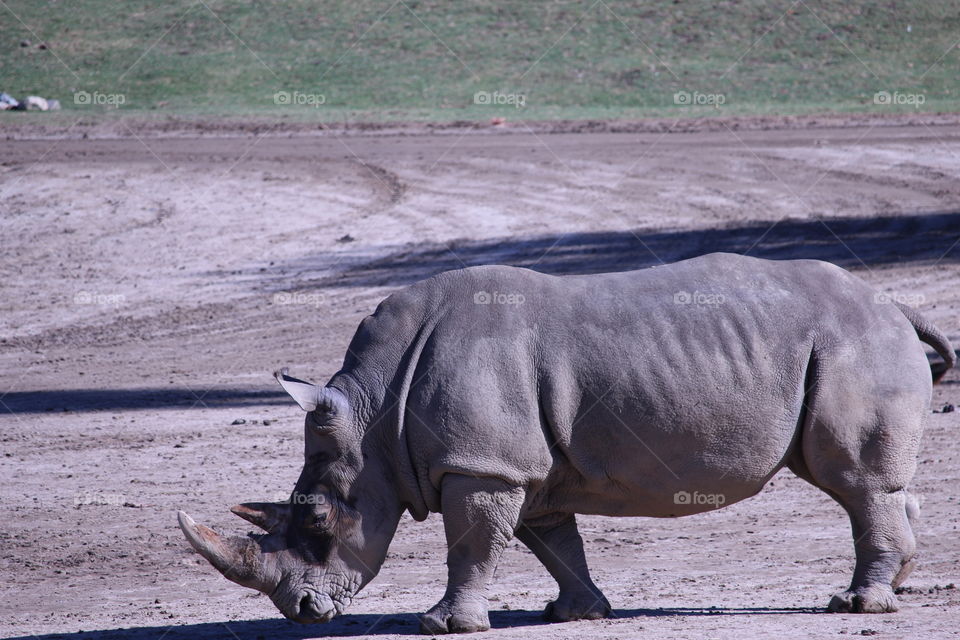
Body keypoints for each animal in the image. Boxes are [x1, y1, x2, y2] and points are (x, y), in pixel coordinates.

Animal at [178, 253, 955, 634]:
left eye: (316, 521)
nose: (302, 613)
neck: (374, 417)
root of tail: (895, 305)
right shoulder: (519, 465)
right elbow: (551, 539)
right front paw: (575, 614)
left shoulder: (481, 465)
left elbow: (472, 544)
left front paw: (443, 626)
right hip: (843, 343)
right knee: (865, 486)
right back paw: (892, 588)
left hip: (854, 342)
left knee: (854, 481)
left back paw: (857, 607)